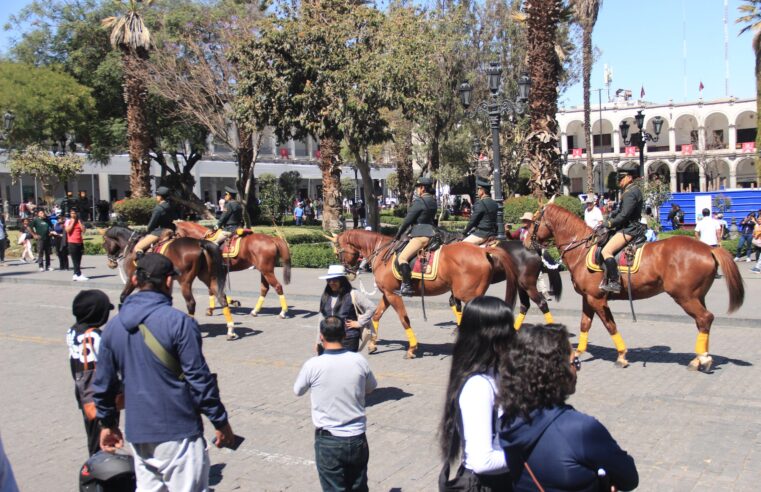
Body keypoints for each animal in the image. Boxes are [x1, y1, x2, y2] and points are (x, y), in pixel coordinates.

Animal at [101, 226, 238, 338]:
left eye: (104, 243)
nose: (110, 263)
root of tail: (199, 243)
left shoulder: (132, 279)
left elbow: (123, 296)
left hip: (185, 282)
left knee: (191, 303)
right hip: (208, 277)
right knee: (221, 297)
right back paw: (230, 329)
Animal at [328, 229, 516, 360]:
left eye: (338, 252)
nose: (348, 273)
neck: (382, 252)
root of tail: (482, 251)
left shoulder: (393, 295)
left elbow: (404, 319)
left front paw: (412, 348)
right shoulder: (387, 294)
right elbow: (376, 315)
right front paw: (373, 344)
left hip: (468, 295)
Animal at [524, 202, 744, 370]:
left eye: (535, 222)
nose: (525, 241)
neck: (582, 250)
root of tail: (708, 248)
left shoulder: (597, 299)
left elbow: (610, 325)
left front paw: (622, 355)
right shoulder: (588, 297)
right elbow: (585, 324)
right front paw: (576, 353)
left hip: (685, 297)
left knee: (705, 318)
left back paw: (703, 359)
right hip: (697, 296)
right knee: (702, 322)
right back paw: (699, 357)